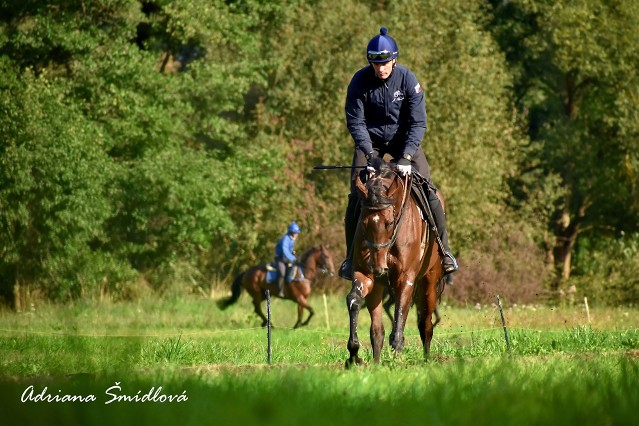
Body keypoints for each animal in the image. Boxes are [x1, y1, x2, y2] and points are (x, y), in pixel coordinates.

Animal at [348, 161, 448, 368]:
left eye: (389, 222)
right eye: (363, 222)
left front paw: (396, 360)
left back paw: (426, 359)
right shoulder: (364, 275)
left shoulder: (405, 279)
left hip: (429, 281)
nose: (378, 267)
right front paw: (354, 355)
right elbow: (355, 302)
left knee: (425, 324)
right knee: (379, 329)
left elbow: (400, 317)